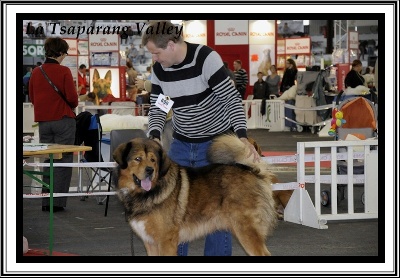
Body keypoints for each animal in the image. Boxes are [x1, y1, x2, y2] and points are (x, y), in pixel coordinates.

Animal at [111, 135, 276, 256]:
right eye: (137, 159)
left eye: (153, 160)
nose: (150, 170)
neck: (149, 192)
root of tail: (252, 171)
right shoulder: (150, 242)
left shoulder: (166, 241)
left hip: (246, 230)